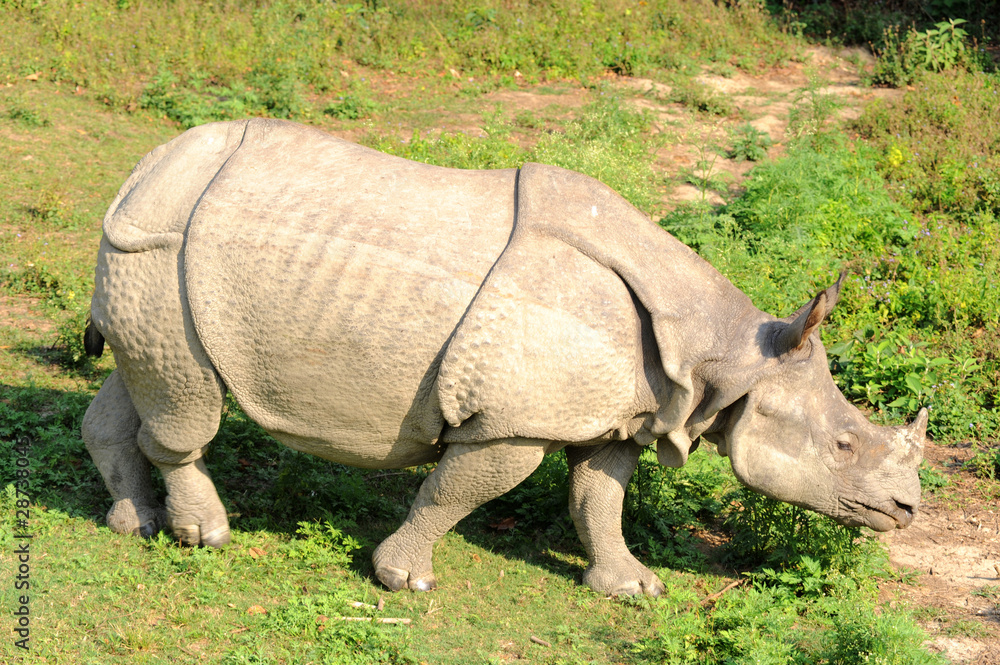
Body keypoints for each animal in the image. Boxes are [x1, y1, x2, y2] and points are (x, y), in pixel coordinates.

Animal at [82, 118, 926, 596]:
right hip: (165, 242)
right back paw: (205, 536)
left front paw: (633, 588)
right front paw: (404, 580)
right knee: (187, 404)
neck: (721, 357)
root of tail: (146, 166)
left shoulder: (617, 412)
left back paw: (132, 524)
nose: (909, 510)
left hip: (153, 249)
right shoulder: (512, 421)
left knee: (144, 373)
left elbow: (598, 499)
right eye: (843, 444)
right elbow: (455, 493)